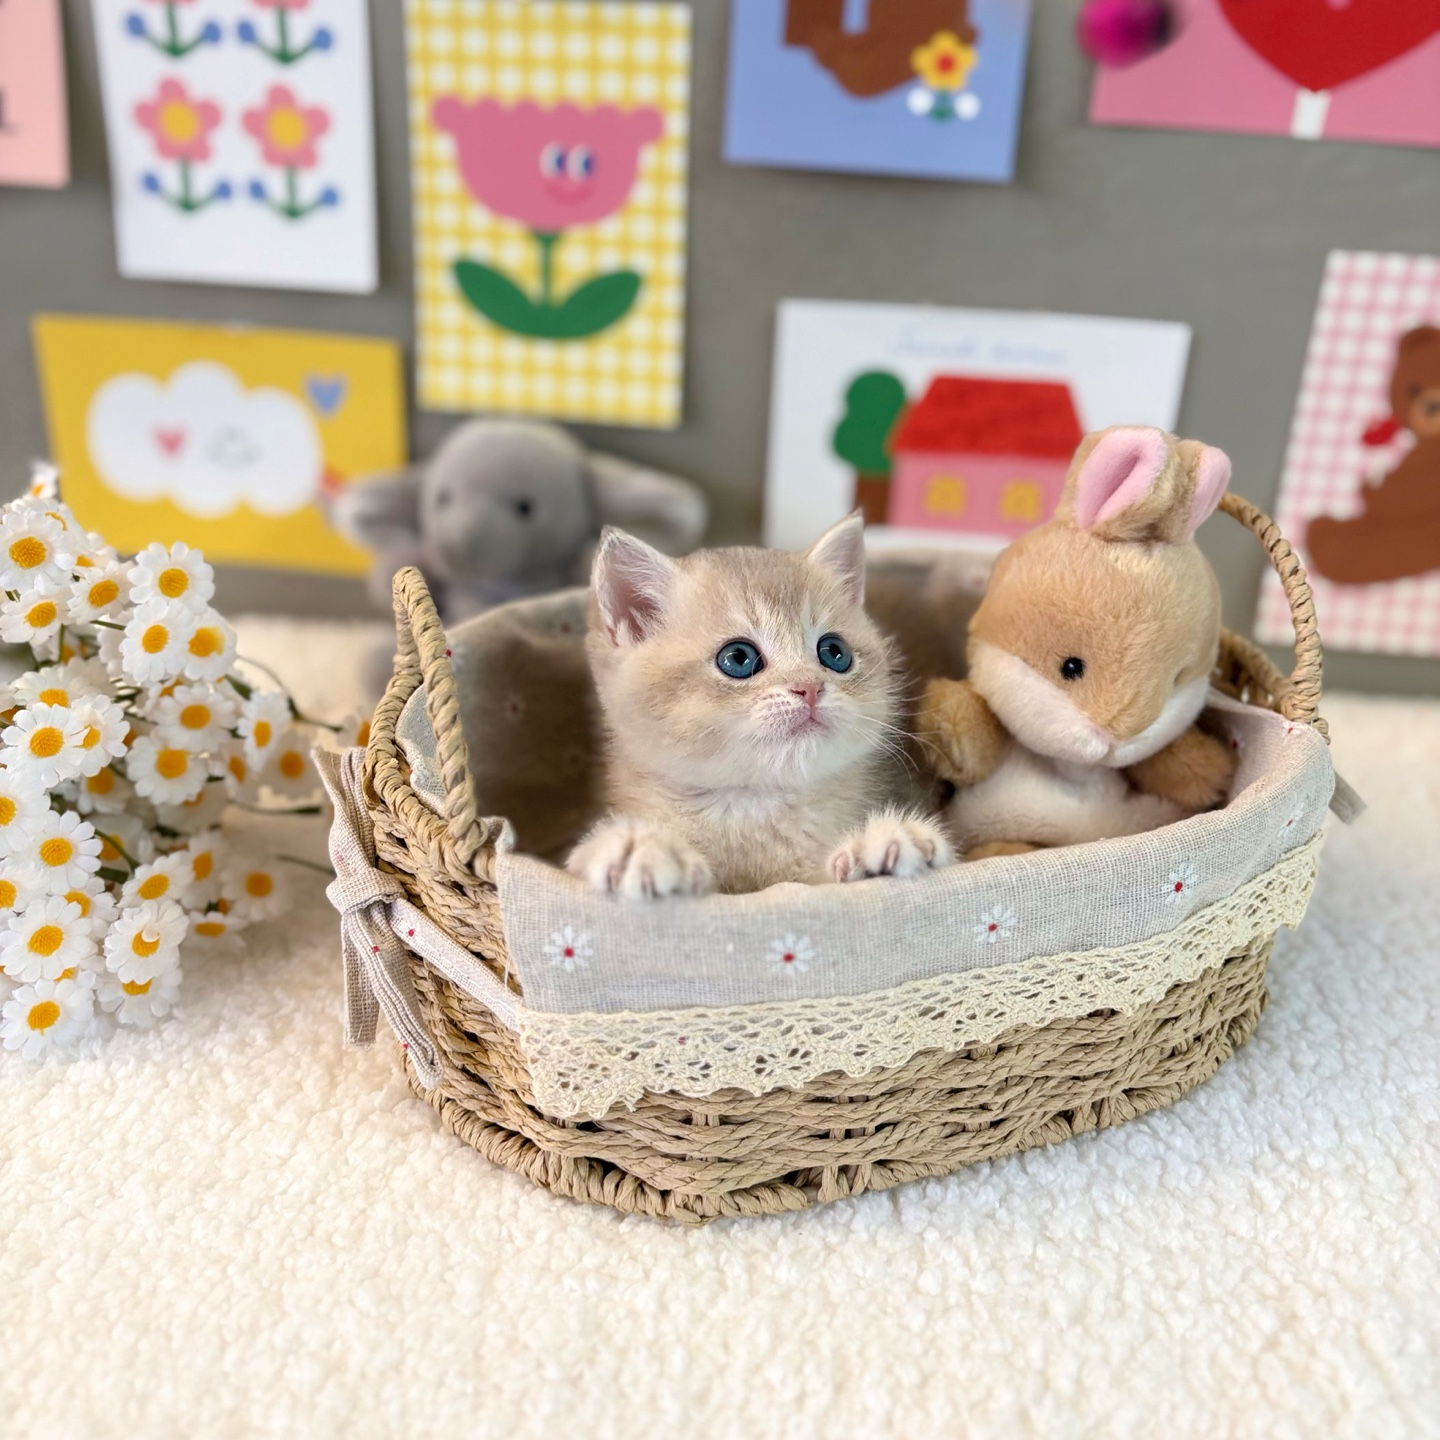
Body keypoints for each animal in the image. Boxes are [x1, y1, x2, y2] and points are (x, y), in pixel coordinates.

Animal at [566, 513, 954, 898]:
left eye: (834, 653)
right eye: (738, 658)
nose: (810, 688)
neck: (754, 806)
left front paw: (880, 847)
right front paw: (643, 850)